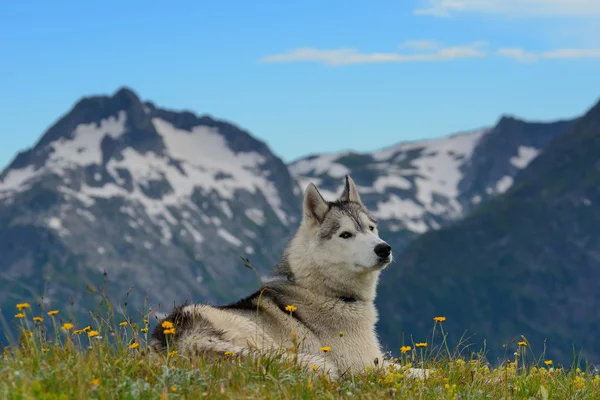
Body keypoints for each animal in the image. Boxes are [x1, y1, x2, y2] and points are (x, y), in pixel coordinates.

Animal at [152, 175, 410, 378]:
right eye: (345, 235)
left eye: (371, 228)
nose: (384, 249)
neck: (325, 292)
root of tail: (182, 334)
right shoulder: (366, 366)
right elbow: (417, 373)